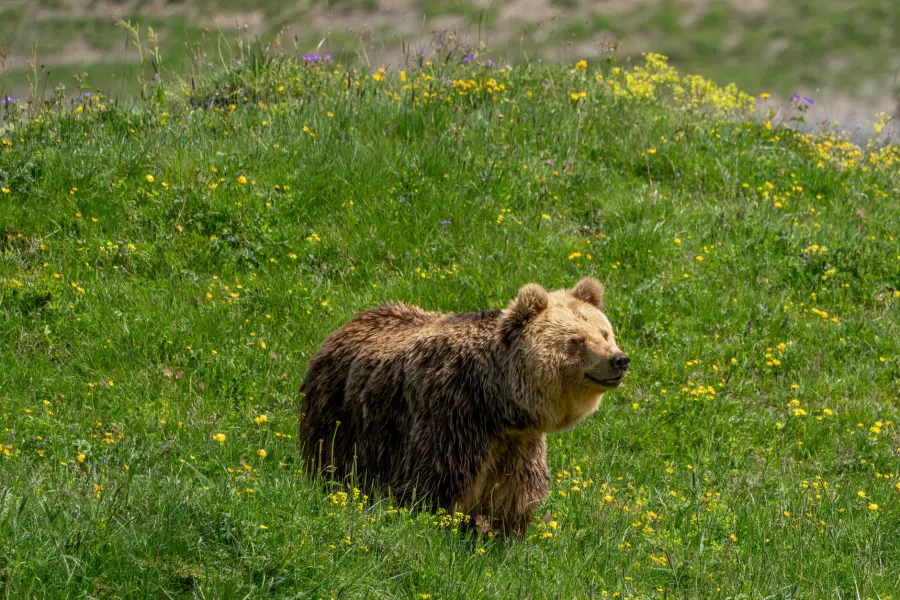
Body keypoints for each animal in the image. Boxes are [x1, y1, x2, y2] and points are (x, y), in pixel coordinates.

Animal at [297, 277, 629, 534]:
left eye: (604, 333)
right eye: (576, 340)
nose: (619, 359)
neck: (496, 402)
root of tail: (346, 324)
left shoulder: (518, 443)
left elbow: (515, 494)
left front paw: (501, 533)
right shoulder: (452, 416)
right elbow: (434, 482)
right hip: (344, 418)